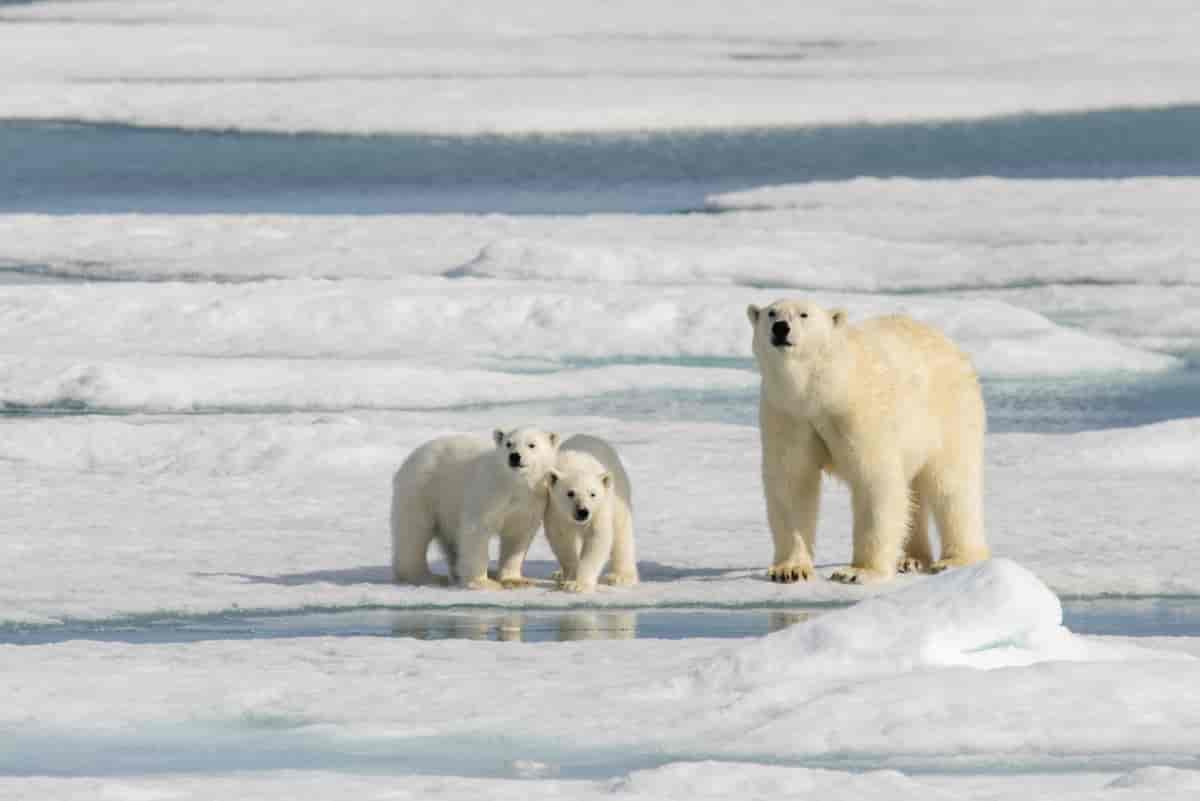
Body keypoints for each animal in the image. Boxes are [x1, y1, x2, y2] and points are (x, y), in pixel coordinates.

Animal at [393, 429, 561, 592]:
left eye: (532, 445)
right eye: (508, 443)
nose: (514, 456)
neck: (514, 485)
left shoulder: (530, 502)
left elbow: (517, 537)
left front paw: (515, 581)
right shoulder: (488, 494)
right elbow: (476, 531)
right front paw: (483, 583)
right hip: (423, 489)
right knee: (414, 532)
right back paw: (427, 577)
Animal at [748, 298, 993, 582]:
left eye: (804, 314)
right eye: (771, 313)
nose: (780, 328)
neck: (823, 390)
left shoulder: (857, 412)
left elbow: (875, 481)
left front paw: (857, 572)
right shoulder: (788, 415)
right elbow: (791, 482)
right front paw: (789, 569)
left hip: (949, 413)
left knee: (952, 485)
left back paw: (955, 560)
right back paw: (910, 558)